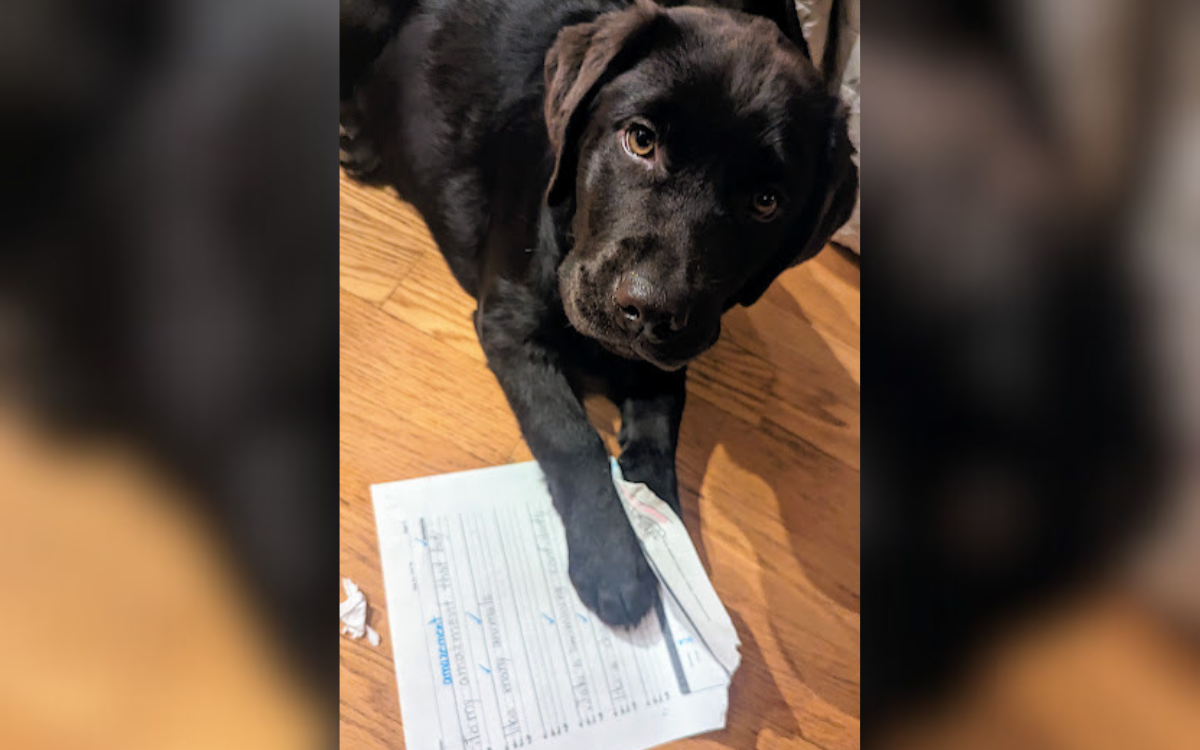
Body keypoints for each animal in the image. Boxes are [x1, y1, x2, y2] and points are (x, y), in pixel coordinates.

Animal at [343, 0, 859, 624]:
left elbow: (659, 440)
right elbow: (571, 437)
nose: (649, 308)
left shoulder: (669, 356)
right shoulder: (510, 324)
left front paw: (665, 532)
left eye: (766, 203)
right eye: (639, 140)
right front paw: (612, 559)